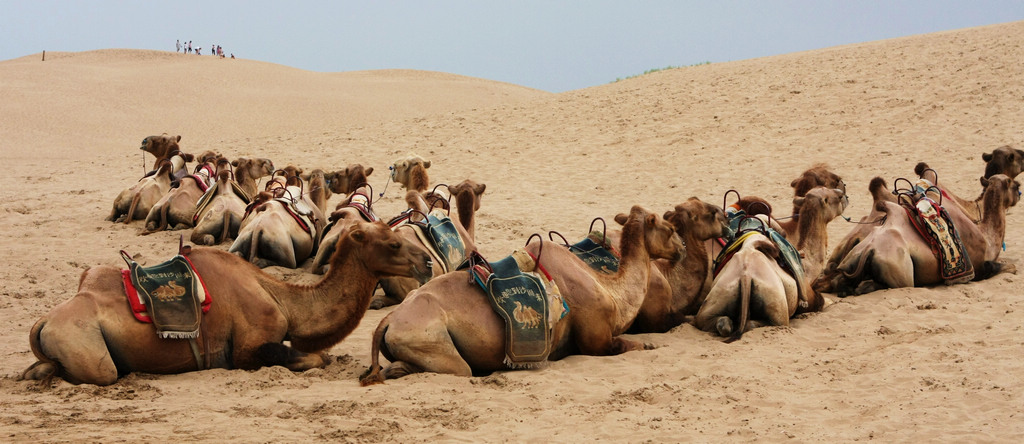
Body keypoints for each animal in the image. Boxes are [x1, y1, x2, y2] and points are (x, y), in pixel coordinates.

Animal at [18, 220, 432, 384]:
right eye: (393, 243)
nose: (426, 261)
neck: (283, 300)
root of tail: (42, 322)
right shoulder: (247, 349)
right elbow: (314, 358)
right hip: (87, 348)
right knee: (101, 371)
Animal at [356, 206, 684, 382]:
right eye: (668, 228)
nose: (681, 248)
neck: (610, 288)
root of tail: (387, 321)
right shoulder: (597, 340)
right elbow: (630, 345)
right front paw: (650, 345)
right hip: (429, 340)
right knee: (454, 368)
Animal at [823, 173, 1015, 294]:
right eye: (1014, 184)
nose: (1019, 192)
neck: (988, 239)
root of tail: (867, 249)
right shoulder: (979, 266)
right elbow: (1006, 267)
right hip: (901, 273)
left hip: (850, 259)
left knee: (838, 279)